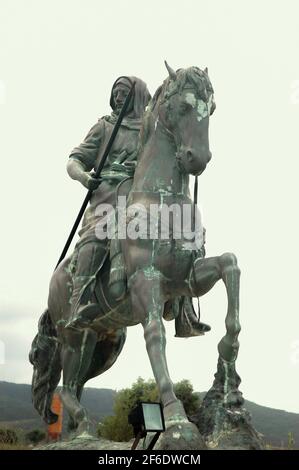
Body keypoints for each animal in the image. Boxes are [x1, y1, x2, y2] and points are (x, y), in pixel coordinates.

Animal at [29, 63, 243, 448]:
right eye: (183, 107)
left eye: (212, 108)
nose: (198, 159)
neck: (162, 201)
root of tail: (53, 283)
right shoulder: (147, 282)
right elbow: (156, 337)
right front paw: (177, 419)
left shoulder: (187, 278)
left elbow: (230, 264)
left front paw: (229, 376)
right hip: (72, 337)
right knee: (66, 387)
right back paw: (84, 428)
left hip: (104, 342)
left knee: (74, 385)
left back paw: (77, 432)